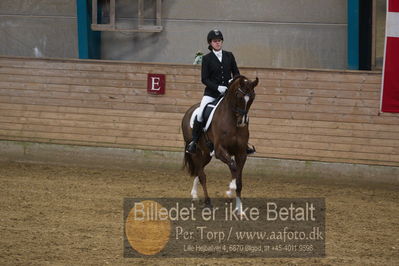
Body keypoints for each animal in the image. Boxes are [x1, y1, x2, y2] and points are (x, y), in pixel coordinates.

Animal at [181, 75, 260, 212]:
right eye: (238, 96)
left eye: (253, 97)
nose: (242, 121)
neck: (233, 121)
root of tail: (189, 111)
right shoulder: (220, 151)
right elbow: (233, 167)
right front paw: (229, 191)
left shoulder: (241, 153)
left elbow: (238, 178)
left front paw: (239, 208)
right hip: (196, 152)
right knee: (201, 174)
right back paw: (207, 201)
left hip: (206, 154)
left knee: (199, 170)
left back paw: (195, 195)